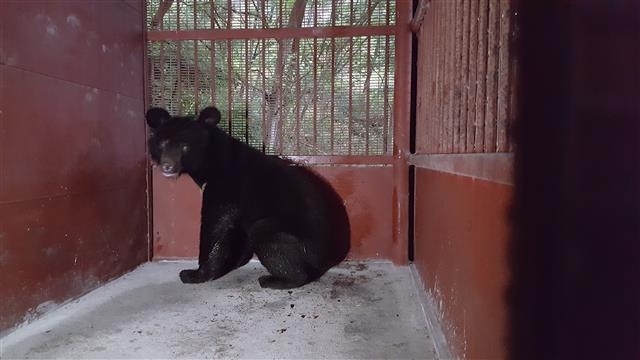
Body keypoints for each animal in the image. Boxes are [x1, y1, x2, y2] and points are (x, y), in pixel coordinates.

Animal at [146, 105, 350, 288]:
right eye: (162, 144)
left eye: (185, 146)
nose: (167, 166)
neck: (211, 162)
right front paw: (232, 263)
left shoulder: (225, 186)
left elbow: (215, 225)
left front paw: (194, 274)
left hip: (287, 237)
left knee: (267, 238)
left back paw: (274, 280)